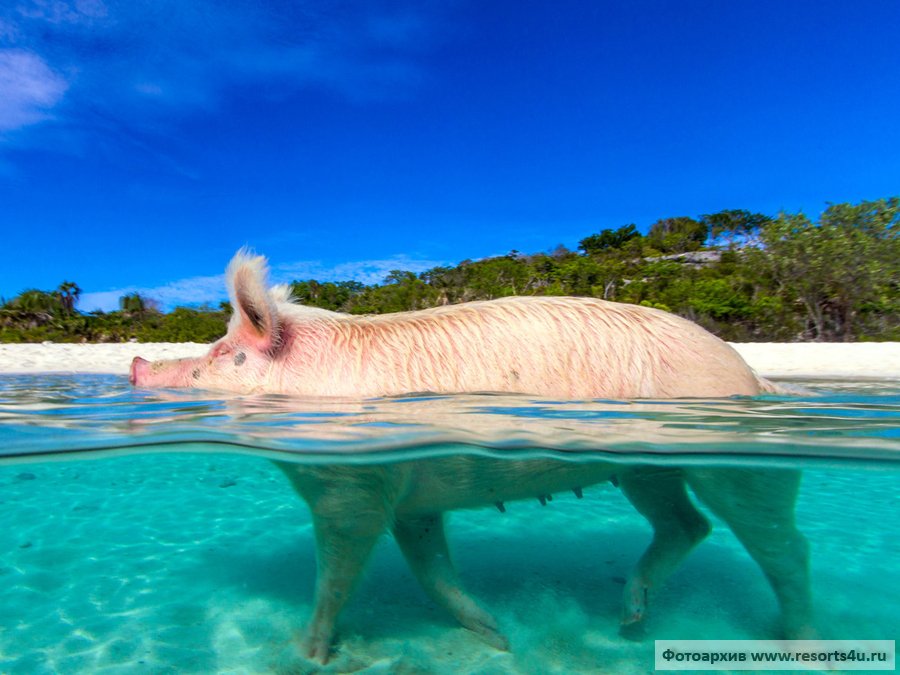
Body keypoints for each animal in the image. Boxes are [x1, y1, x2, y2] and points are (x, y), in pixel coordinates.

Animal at [130, 251, 812, 664]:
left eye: (221, 356)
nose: (136, 364)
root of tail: (754, 376)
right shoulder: (410, 500)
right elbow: (434, 571)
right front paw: (499, 639)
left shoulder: (349, 487)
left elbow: (338, 575)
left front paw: (307, 655)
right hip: (645, 468)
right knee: (686, 524)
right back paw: (629, 624)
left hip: (730, 461)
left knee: (781, 544)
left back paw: (799, 645)